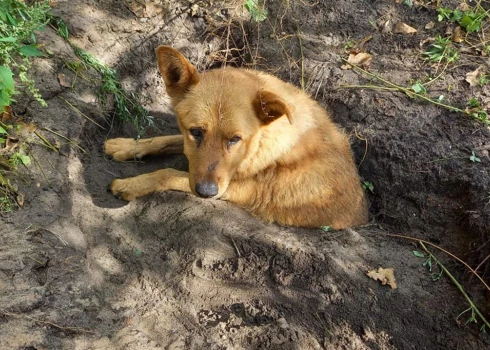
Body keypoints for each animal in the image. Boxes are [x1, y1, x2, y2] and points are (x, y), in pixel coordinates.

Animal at [104, 45, 368, 228]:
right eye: (196, 132)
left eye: (235, 139)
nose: (206, 192)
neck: (260, 143)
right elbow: (166, 140)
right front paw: (126, 146)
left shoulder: (235, 189)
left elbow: (167, 173)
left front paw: (131, 184)